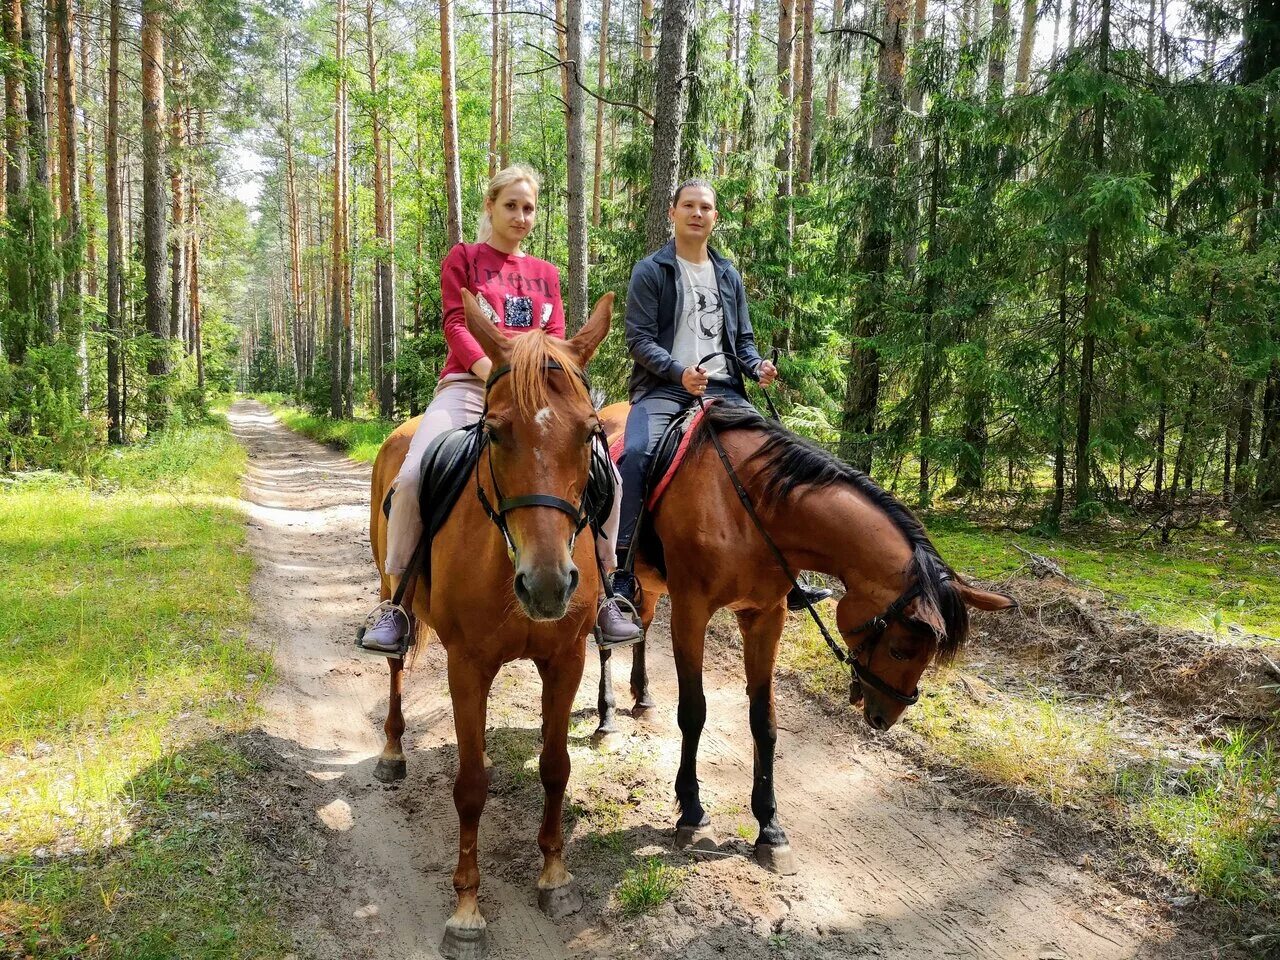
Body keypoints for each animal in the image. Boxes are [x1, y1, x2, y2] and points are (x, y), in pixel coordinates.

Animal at [371, 293, 614, 960]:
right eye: (498, 432)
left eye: (591, 432)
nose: (548, 584)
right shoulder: (467, 667)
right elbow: (472, 784)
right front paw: (466, 910)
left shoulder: (567, 660)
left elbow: (555, 766)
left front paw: (555, 878)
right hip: (390, 586)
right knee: (395, 665)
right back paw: (392, 750)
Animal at [593, 401, 1013, 875]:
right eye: (901, 649)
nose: (884, 719)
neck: (748, 508)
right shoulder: (691, 612)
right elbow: (694, 712)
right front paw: (693, 813)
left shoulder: (765, 617)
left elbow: (764, 721)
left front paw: (770, 829)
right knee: (606, 640)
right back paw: (606, 720)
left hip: (650, 584)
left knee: (641, 628)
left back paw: (643, 699)